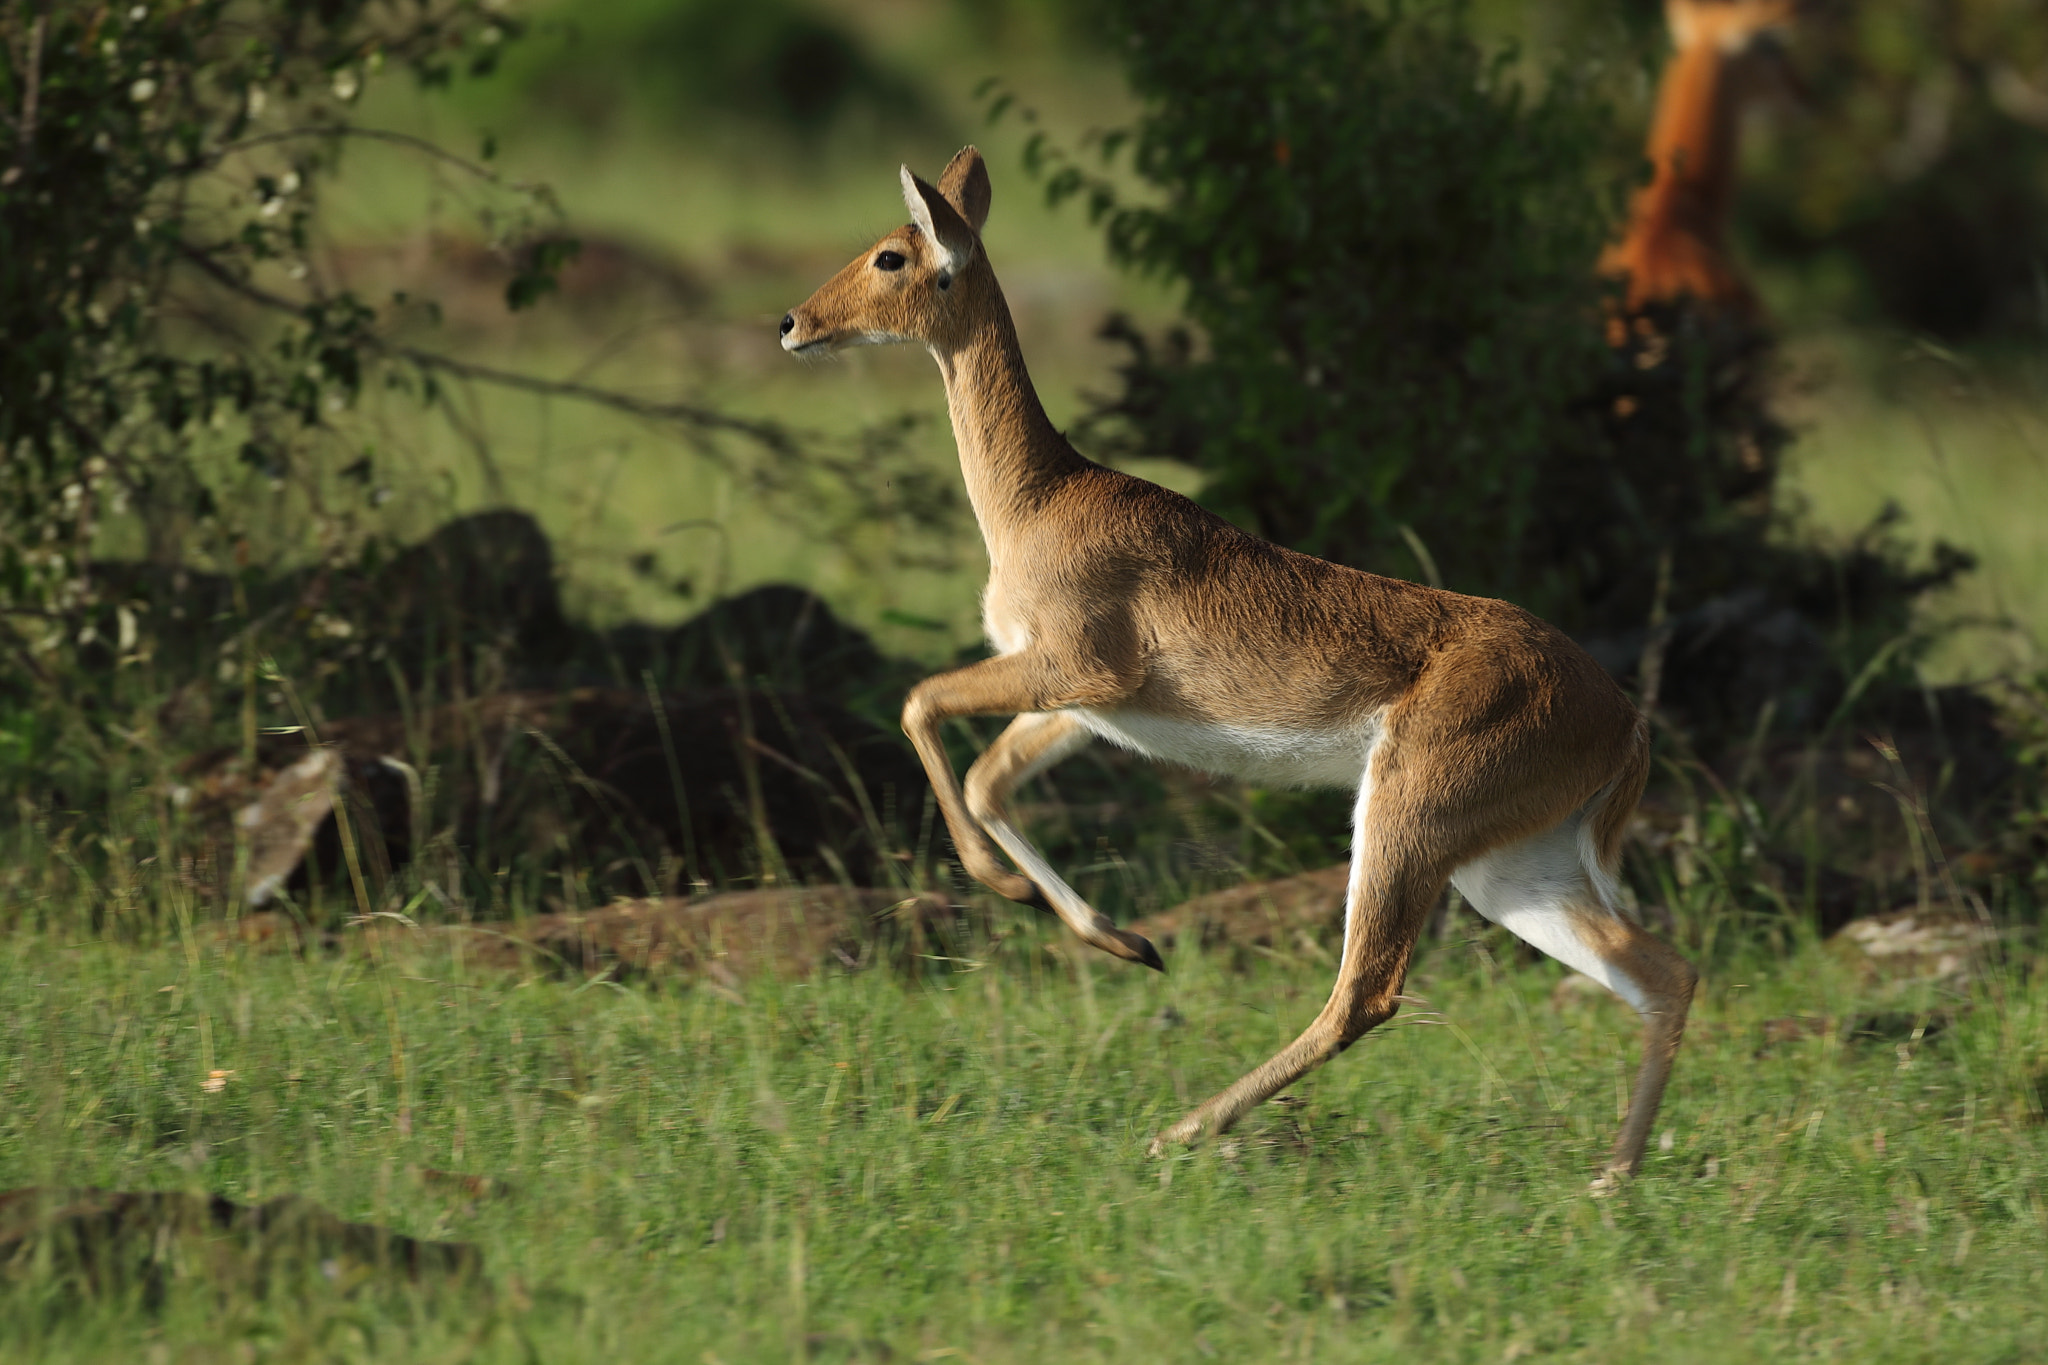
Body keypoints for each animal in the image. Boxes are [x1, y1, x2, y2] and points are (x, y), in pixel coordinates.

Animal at [778, 144, 1695, 1178]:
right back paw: (1610, 1177)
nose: (794, 323)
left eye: (892, 253)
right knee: (1662, 969)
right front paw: (1125, 940)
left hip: (1406, 818)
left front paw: (1020, 894)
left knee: (1367, 991)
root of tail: (1624, 720)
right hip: (1508, 865)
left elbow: (919, 703)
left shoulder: (1081, 669)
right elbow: (984, 776)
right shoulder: (1088, 707)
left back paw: (1173, 1131)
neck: (1041, 495)